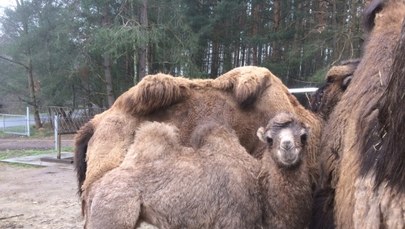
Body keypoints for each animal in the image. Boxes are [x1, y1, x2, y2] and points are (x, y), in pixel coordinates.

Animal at [84, 113, 312, 229]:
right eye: (269, 139)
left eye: (303, 136)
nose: (287, 147)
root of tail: (94, 188)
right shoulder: (233, 220)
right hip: (114, 212)